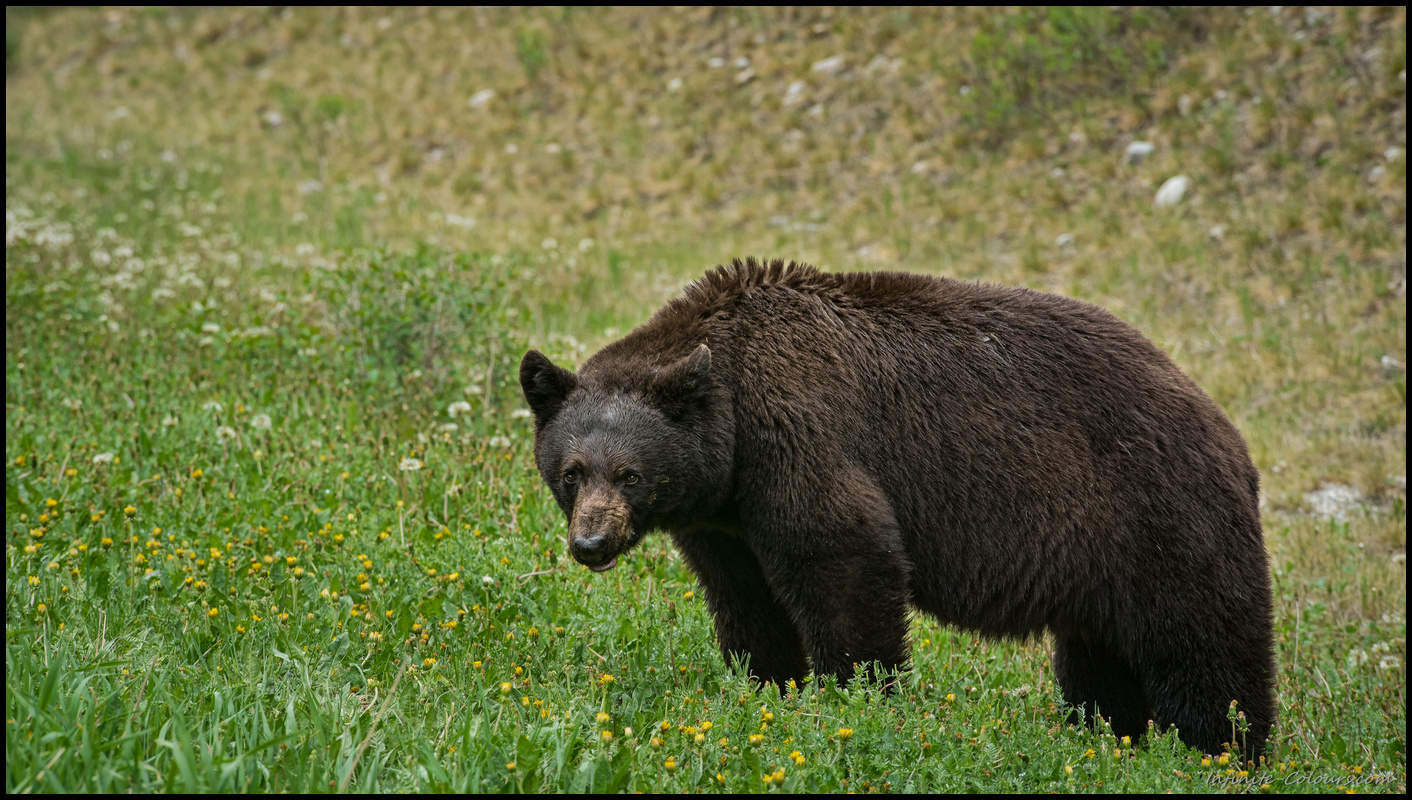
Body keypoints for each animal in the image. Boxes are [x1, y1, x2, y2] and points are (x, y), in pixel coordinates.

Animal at [519, 259, 1282, 761]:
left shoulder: (801, 437)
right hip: (1102, 561)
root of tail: (1227, 431)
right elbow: (746, 600)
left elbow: (845, 558)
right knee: (1100, 659)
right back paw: (1107, 737)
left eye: (631, 473)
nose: (591, 543)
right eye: (570, 472)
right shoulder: (723, 521)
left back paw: (1225, 750)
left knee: (1204, 646)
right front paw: (766, 687)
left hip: (1160, 516)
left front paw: (857, 698)